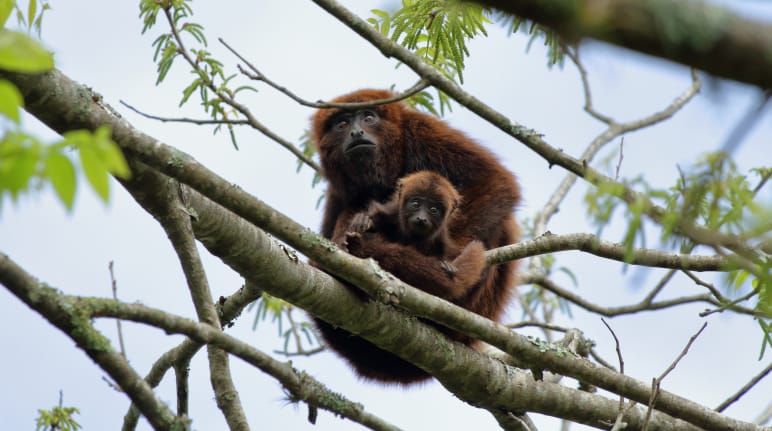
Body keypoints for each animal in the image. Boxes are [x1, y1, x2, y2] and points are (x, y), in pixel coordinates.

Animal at [308, 88, 520, 384]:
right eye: (342, 123)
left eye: (369, 117)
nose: (356, 132)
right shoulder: (338, 192)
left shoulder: (421, 131)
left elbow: (495, 181)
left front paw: (449, 258)